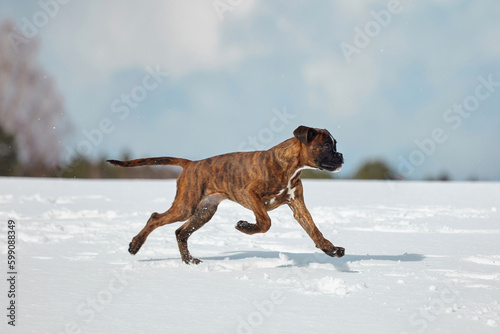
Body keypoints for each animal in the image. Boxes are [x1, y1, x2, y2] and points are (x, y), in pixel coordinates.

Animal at [108, 125, 344, 264]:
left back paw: (189, 261)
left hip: (204, 211)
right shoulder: (250, 193)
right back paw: (135, 245)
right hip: (186, 207)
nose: (341, 156)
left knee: (181, 232)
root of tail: (192, 164)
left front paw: (331, 250)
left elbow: (314, 230)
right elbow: (265, 222)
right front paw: (245, 227)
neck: (291, 166)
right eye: (326, 145)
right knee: (156, 217)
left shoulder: (298, 206)